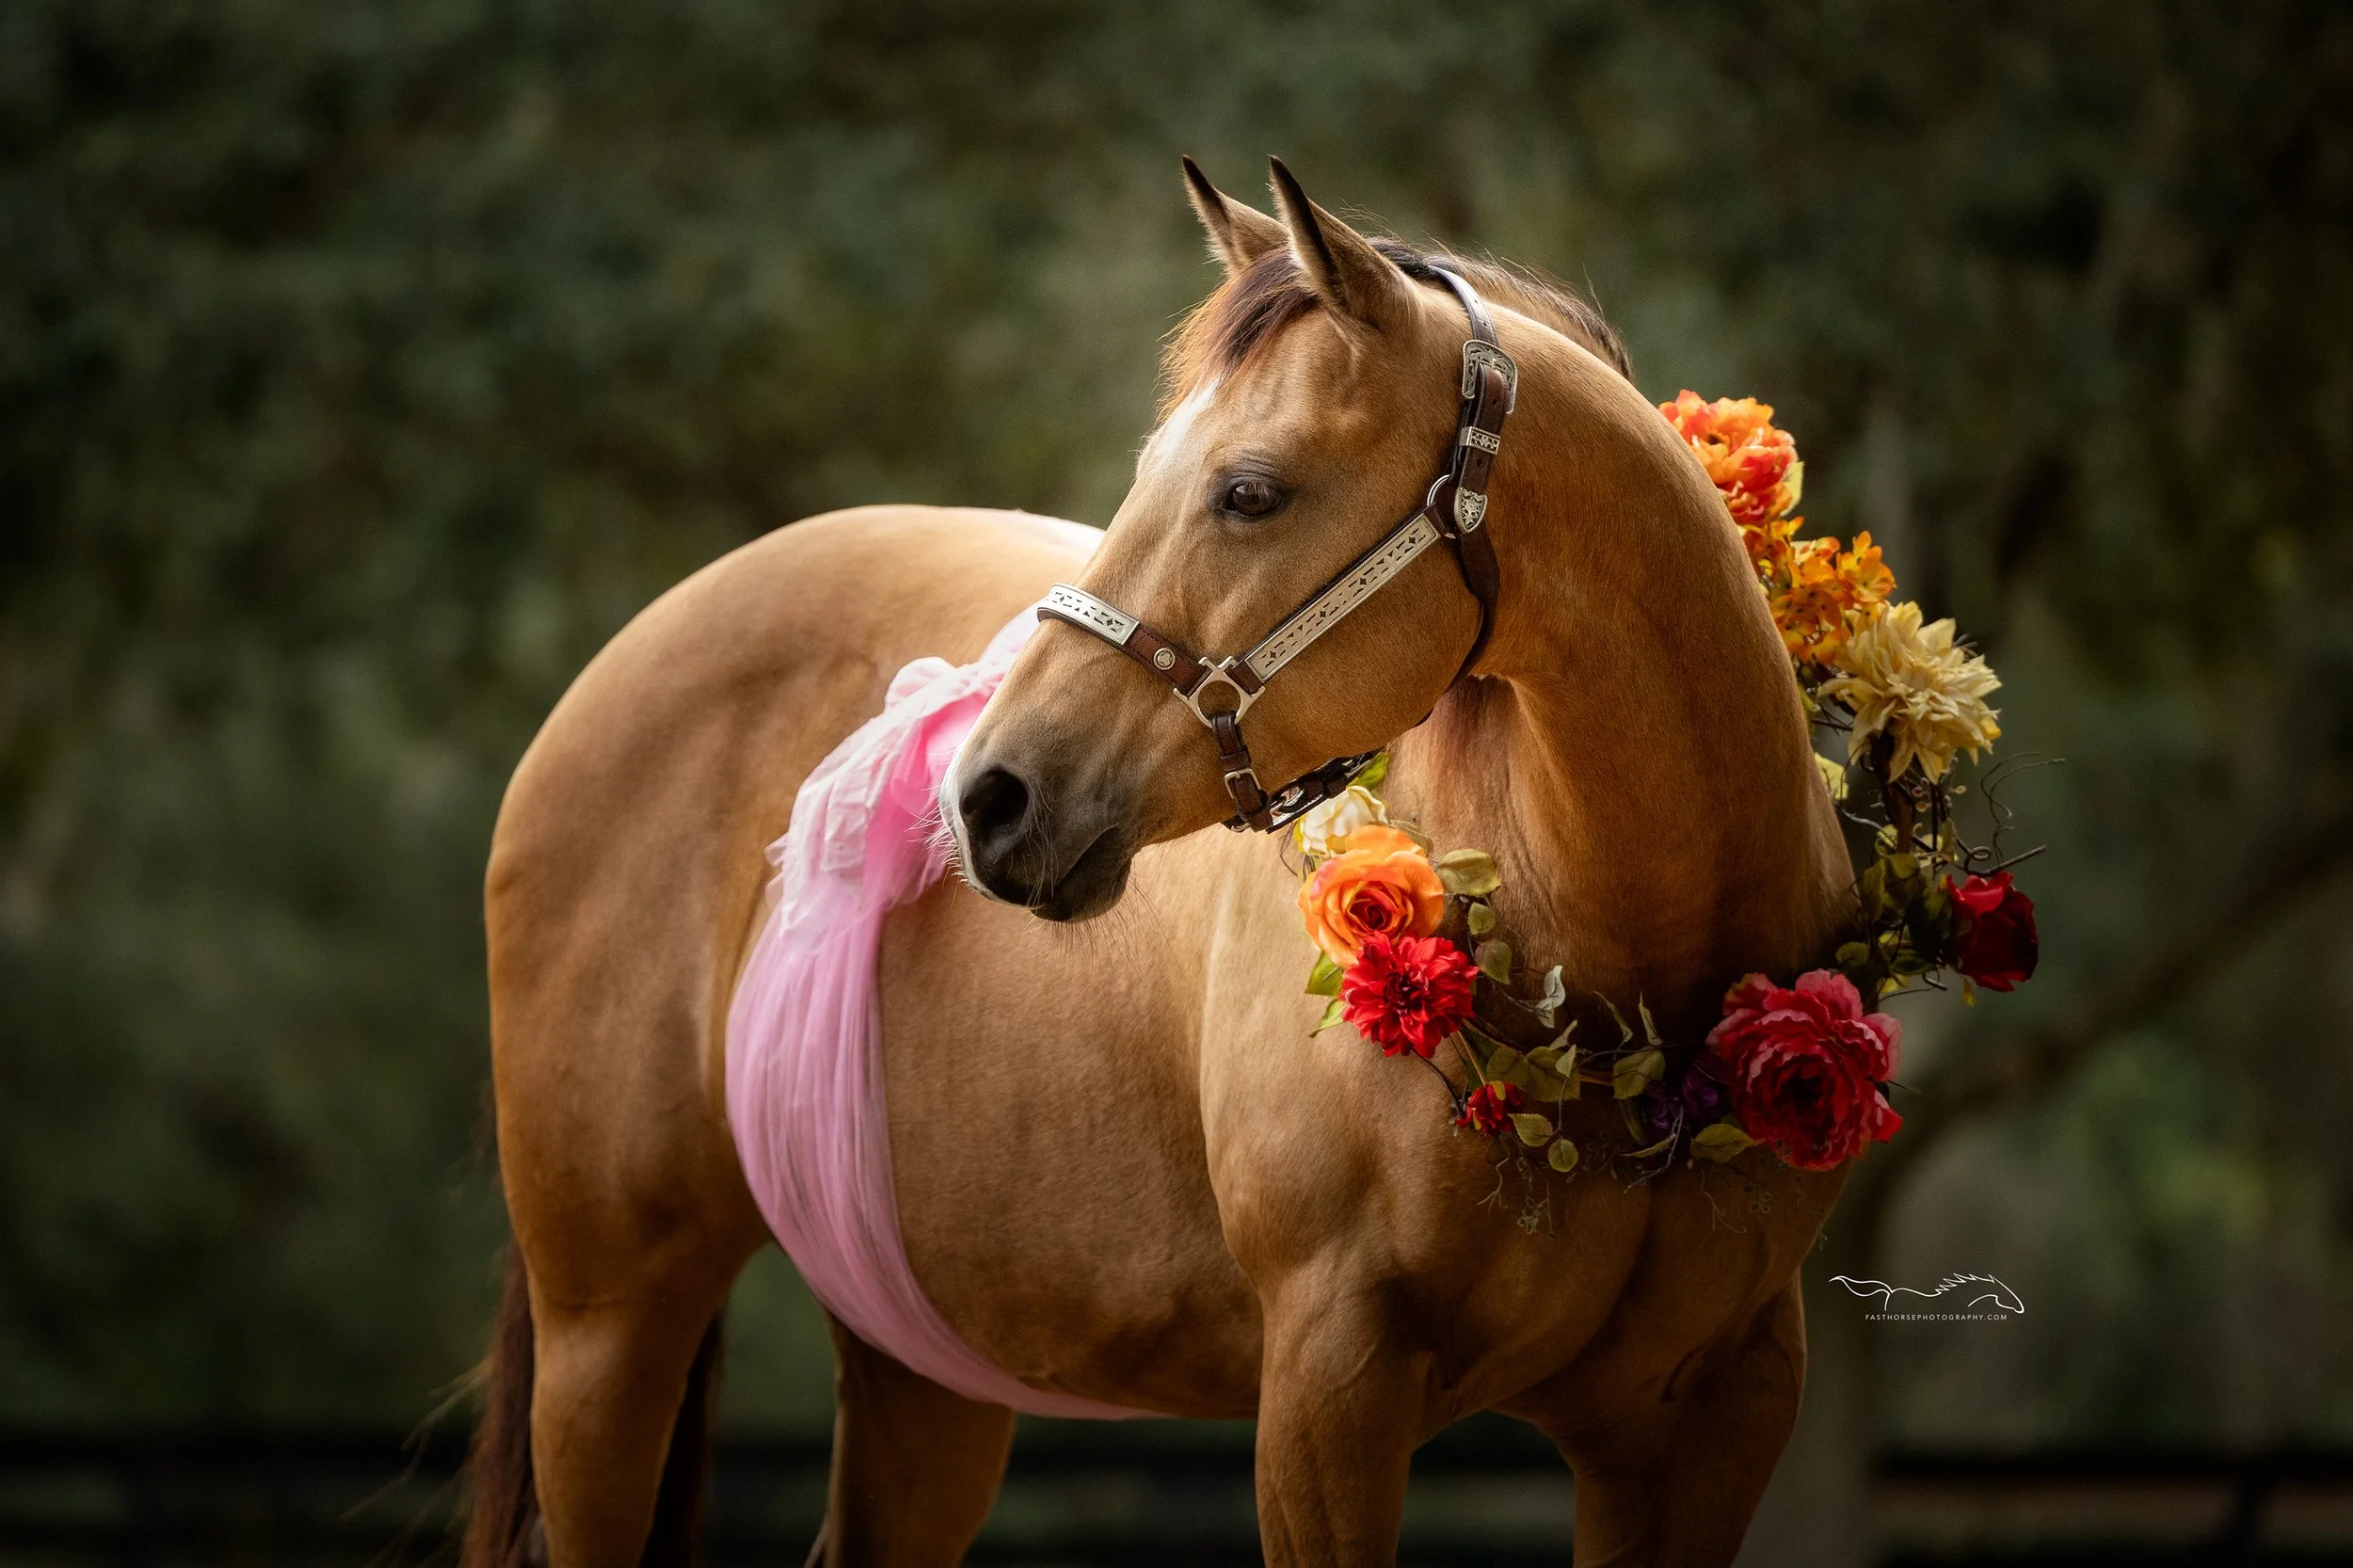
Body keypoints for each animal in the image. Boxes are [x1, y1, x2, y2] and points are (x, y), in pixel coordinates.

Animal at [462, 157, 1856, 1568]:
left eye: (1250, 490)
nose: (990, 795)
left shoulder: (1710, 1420)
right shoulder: (1328, 1393)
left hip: (924, 1366)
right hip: (607, 1336)